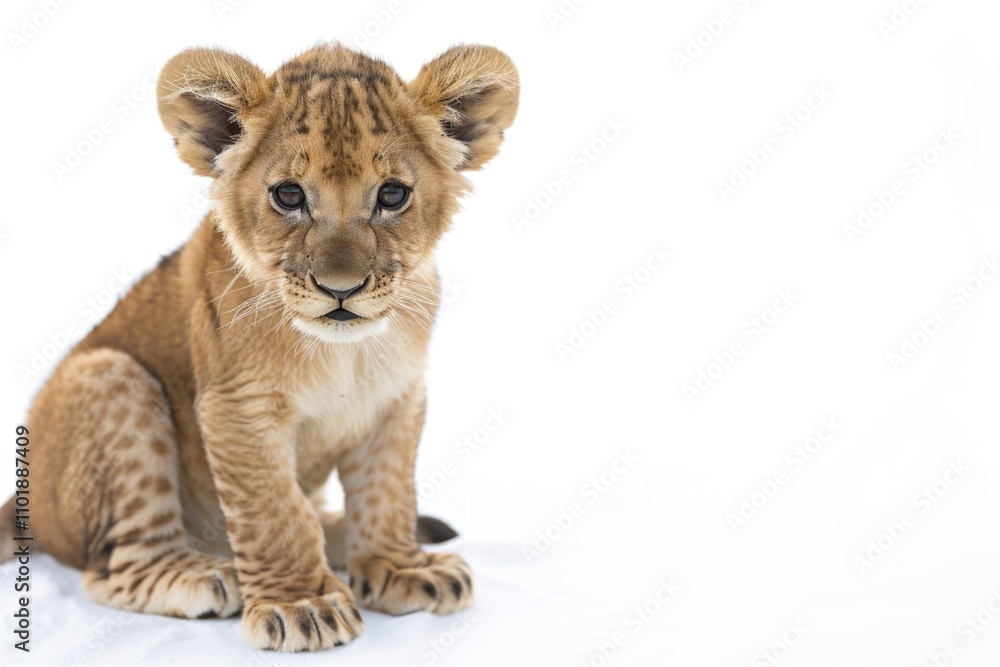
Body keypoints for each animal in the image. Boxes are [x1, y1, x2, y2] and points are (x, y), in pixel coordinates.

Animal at [0, 43, 519, 652]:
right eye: (289, 196)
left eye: (392, 195)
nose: (340, 289)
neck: (341, 352)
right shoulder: (236, 409)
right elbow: (274, 510)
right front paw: (303, 603)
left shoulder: (397, 397)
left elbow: (388, 492)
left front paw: (400, 567)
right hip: (109, 374)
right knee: (114, 568)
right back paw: (208, 575)